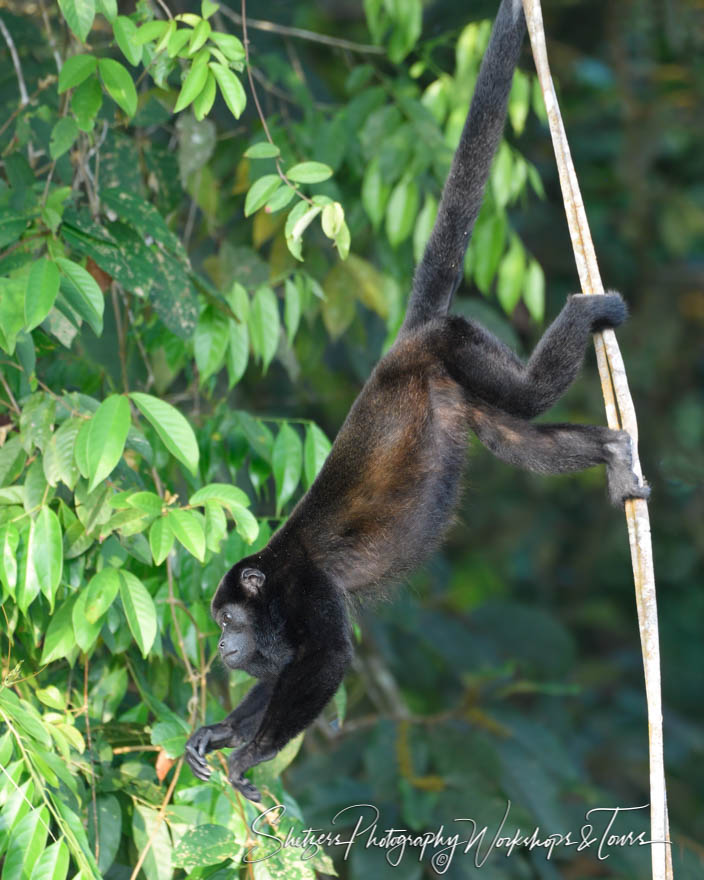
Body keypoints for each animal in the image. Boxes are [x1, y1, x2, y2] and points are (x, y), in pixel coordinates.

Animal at [186, 0, 648, 800]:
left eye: (227, 622)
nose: (221, 649)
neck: (273, 579)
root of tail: (404, 345)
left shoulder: (308, 591)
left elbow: (326, 663)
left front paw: (252, 754)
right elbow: (282, 676)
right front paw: (221, 733)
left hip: (457, 343)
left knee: (528, 396)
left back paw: (586, 312)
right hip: (453, 391)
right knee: (516, 436)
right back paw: (614, 452)